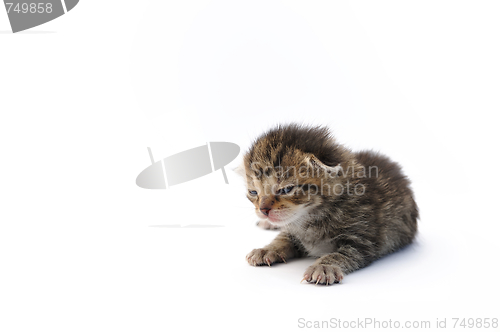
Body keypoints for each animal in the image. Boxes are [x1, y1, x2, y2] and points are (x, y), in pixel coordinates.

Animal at [238, 124, 418, 286]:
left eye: (286, 189)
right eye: (253, 192)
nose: (263, 210)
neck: (312, 216)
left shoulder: (363, 240)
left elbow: (343, 254)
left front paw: (324, 267)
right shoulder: (292, 229)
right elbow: (283, 237)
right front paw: (267, 249)